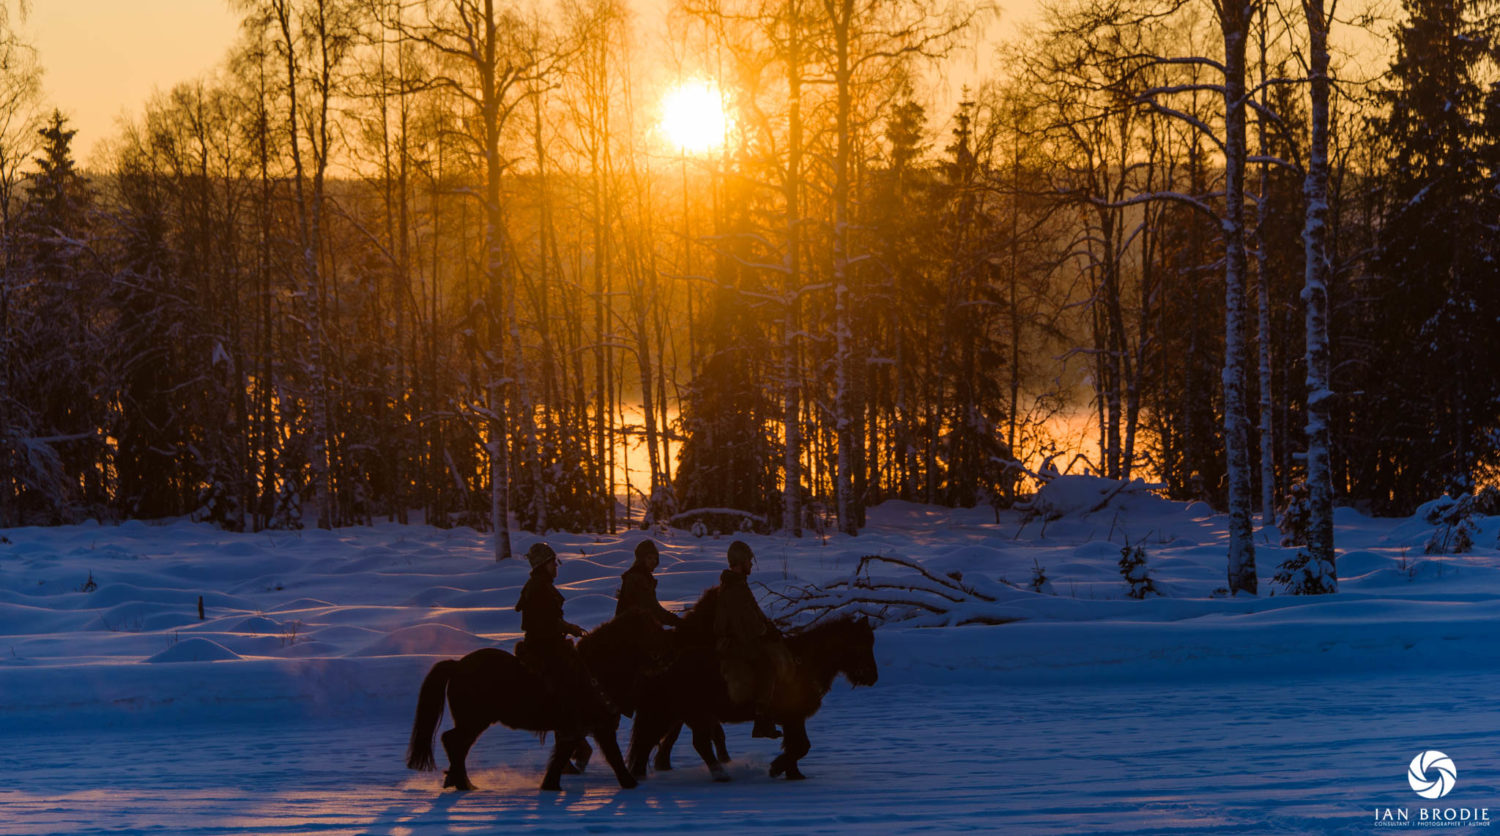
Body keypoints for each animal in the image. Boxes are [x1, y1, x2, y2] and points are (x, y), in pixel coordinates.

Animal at [411, 609, 669, 792]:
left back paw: (461, 782)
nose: (667, 655)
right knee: (453, 742)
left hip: (473, 722)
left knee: (457, 745)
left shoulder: (577, 730)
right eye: (653, 630)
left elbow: (562, 757)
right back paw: (463, 784)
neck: (594, 670)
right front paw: (630, 784)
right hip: (474, 721)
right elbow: (614, 757)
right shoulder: (598, 727)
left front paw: (550, 785)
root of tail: (457, 666)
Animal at [624, 606, 876, 780]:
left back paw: (641, 775)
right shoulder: (793, 718)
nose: (872, 676)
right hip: (682, 714)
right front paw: (776, 768)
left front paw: (793, 774)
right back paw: (720, 776)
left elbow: (797, 745)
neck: (802, 663)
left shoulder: (793, 719)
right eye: (861, 645)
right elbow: (801, 746)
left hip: (678, 715)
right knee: (687, 743)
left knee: (652, 743)